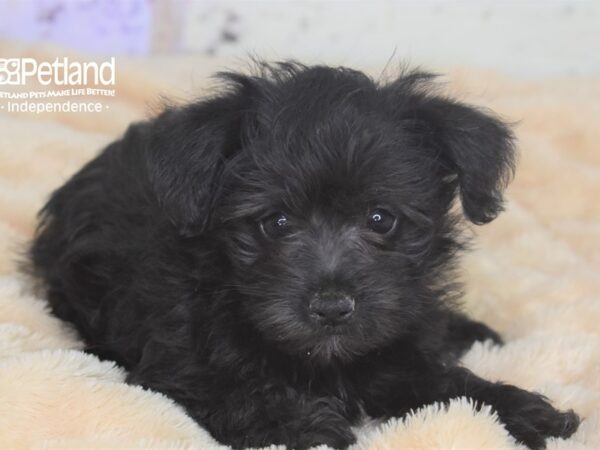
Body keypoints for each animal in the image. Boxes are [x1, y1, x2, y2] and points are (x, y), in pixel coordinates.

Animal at [30, 61, 580, 448]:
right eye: (275, 222)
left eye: (381, 218)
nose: (332, 307)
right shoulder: (178, 363)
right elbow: (229, 389)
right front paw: (300, 422)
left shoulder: (396, 355)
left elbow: (448, 385)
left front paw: (519, 409)